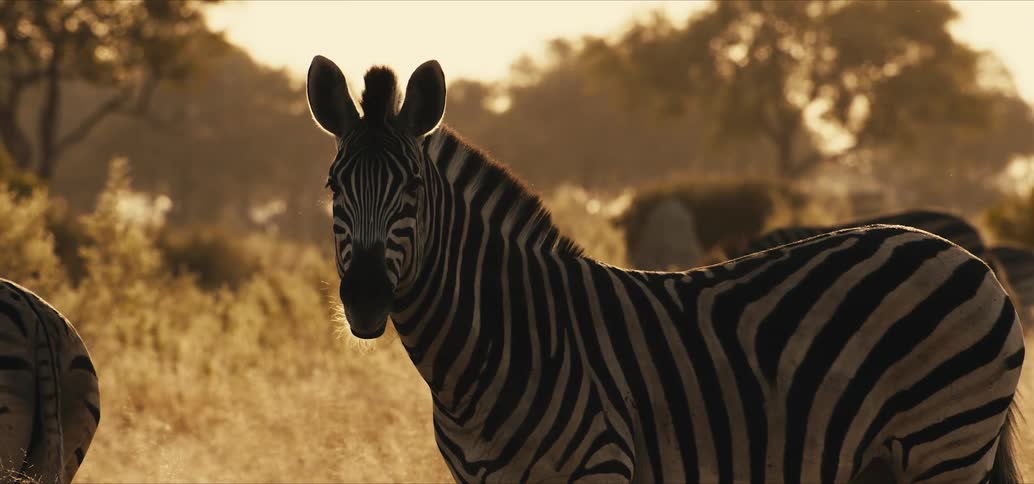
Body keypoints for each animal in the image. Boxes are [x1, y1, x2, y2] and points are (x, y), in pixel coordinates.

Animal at [307, 55, 1024, 483]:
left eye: (412, 191)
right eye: (333, 188)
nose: (365, 299)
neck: (494, 346)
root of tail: (968, 257)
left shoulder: (600, 465)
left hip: (945, 440)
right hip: (885, 457)